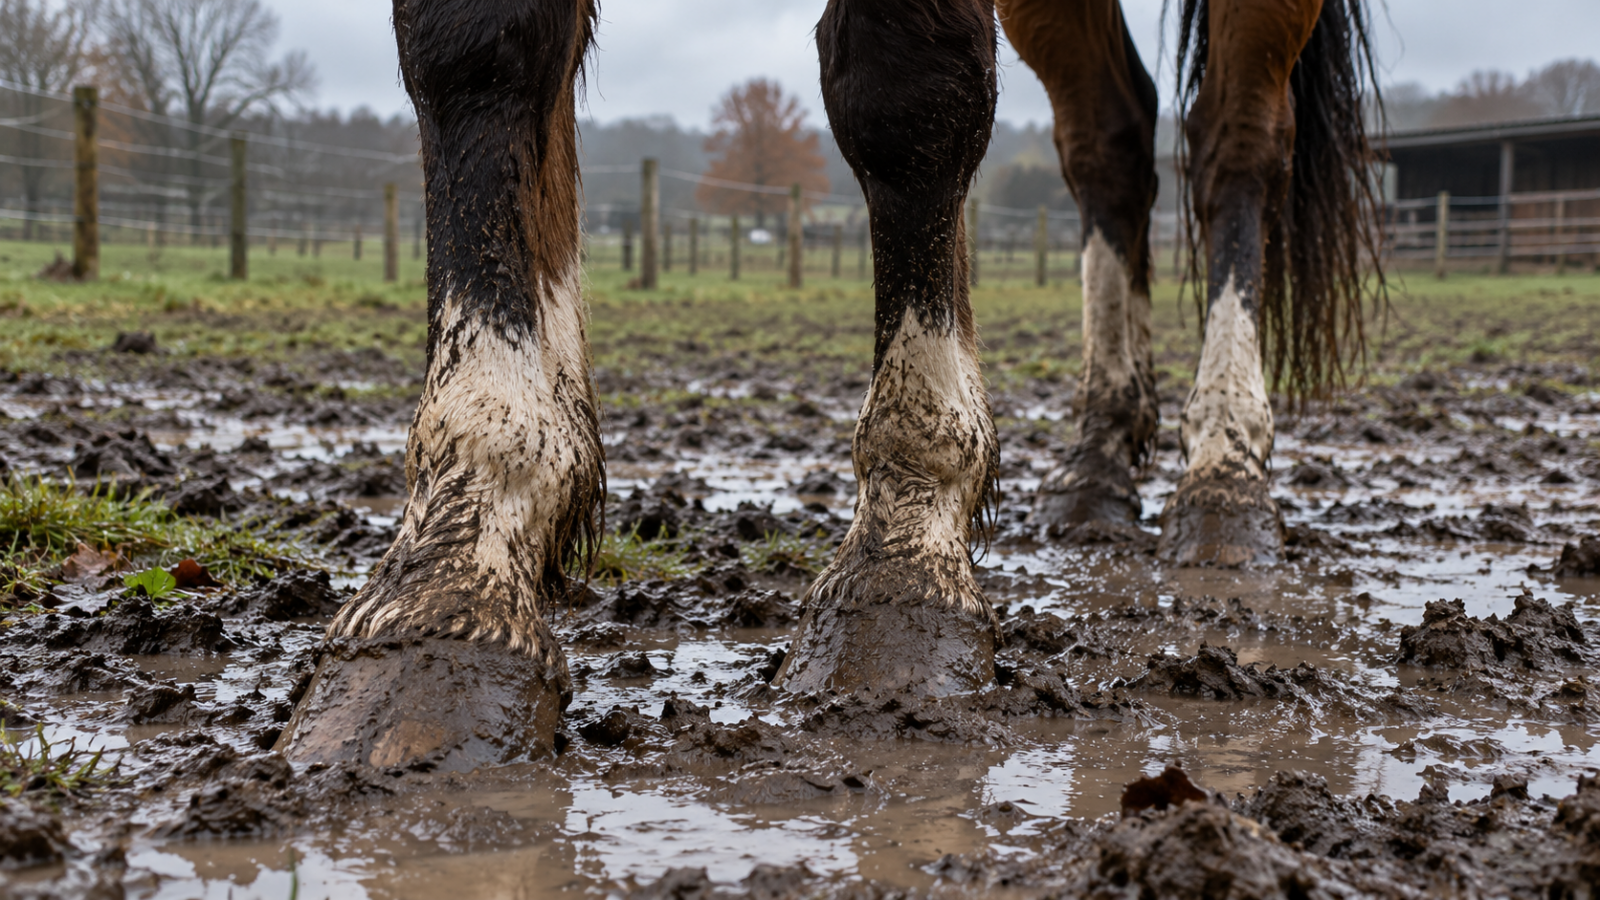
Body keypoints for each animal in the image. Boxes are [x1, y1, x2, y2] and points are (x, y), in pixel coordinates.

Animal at [275, 0, 1382, 771]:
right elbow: (475, 50)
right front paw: (448, 588)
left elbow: (906, 86)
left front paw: (902, 561)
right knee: (1109, 139)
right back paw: (1099, 461)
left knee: (1236, 139)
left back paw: (1224, 475)